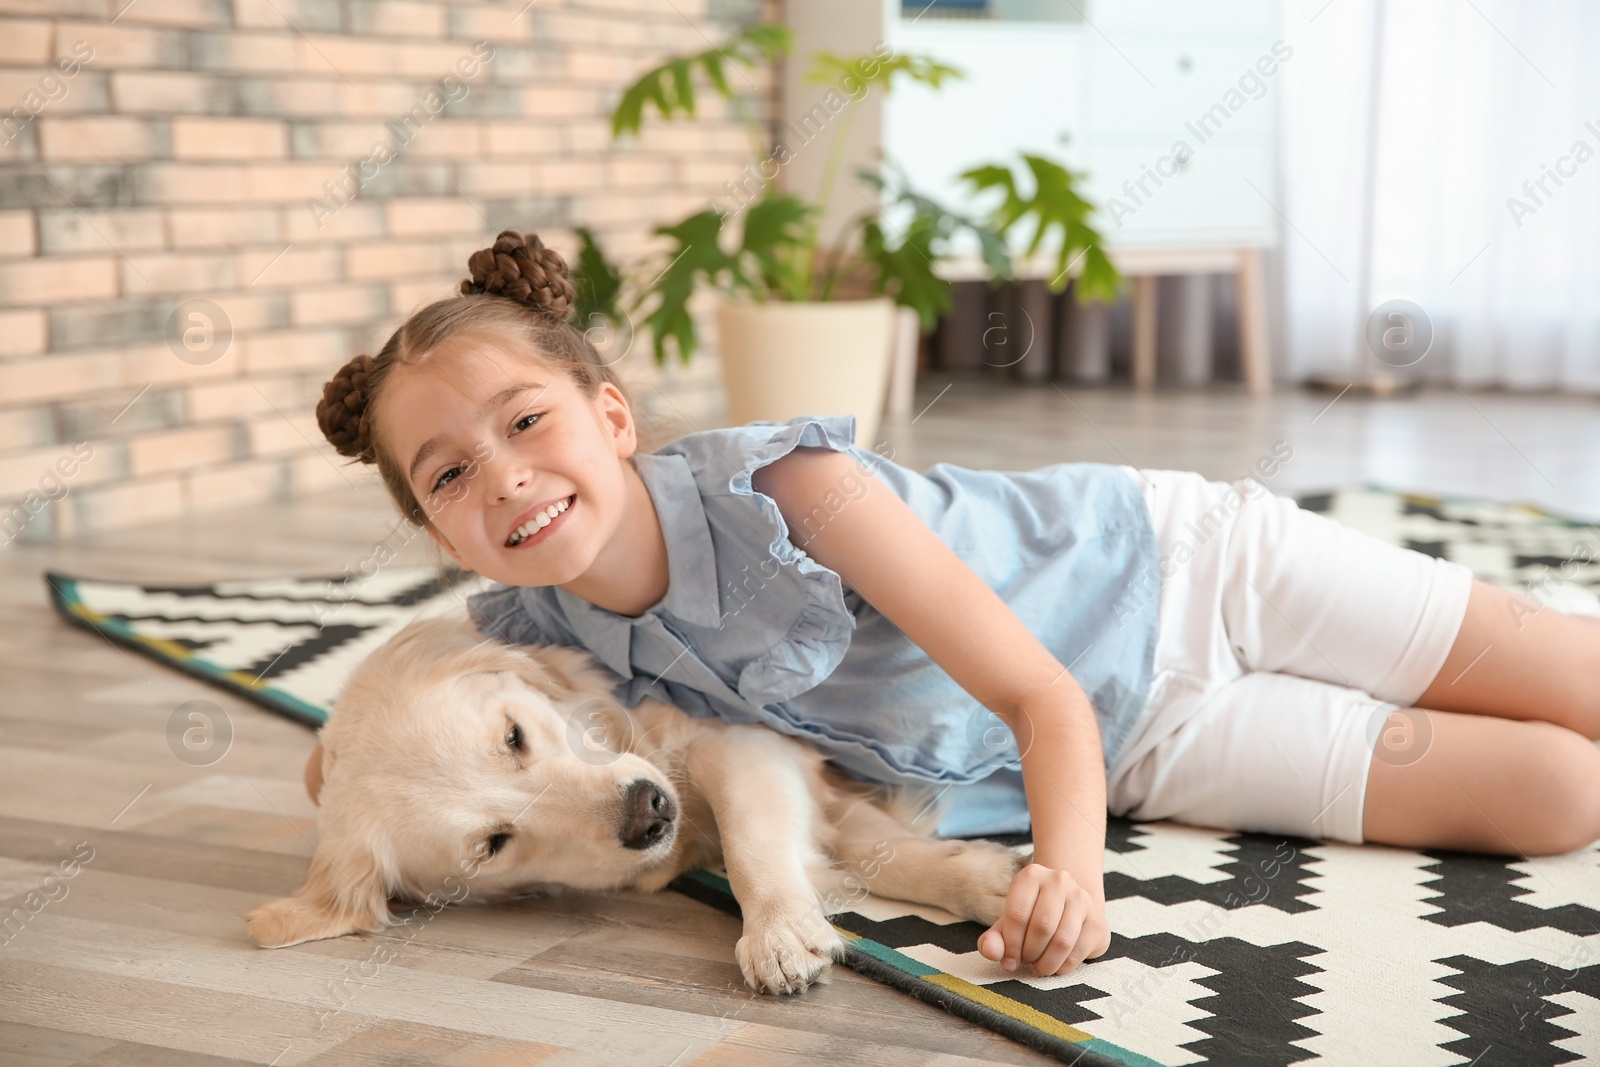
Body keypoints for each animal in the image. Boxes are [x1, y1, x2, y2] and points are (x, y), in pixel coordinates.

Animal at [244, 614, 1030, 998]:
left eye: (514, 735)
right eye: (493, 844)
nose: (648, 812)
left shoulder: (737, 736)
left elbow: (756, 842)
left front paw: (777, 928)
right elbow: (864, 847)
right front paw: (996, 883)